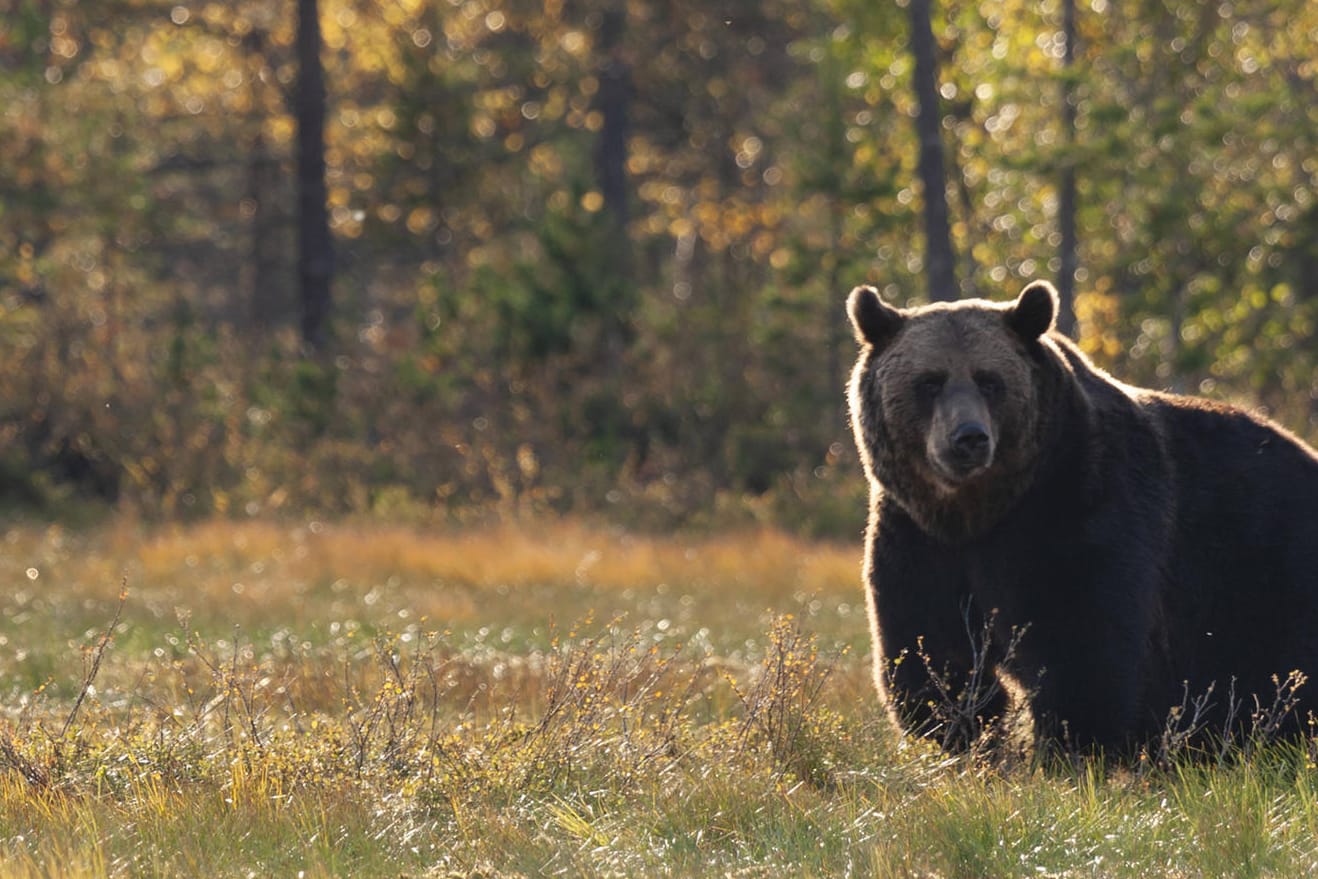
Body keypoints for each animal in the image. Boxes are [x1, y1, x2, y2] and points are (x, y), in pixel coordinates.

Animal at [848, 282, 1318, 759]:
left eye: (989, 380)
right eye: (930, 381)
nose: (969, 438)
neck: (981, 511)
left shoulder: (1083, 504)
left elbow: (1080, 639)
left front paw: (1069, 744)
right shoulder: (916, 534)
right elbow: (930, 641)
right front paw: (963, 728)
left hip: (1268, 569)